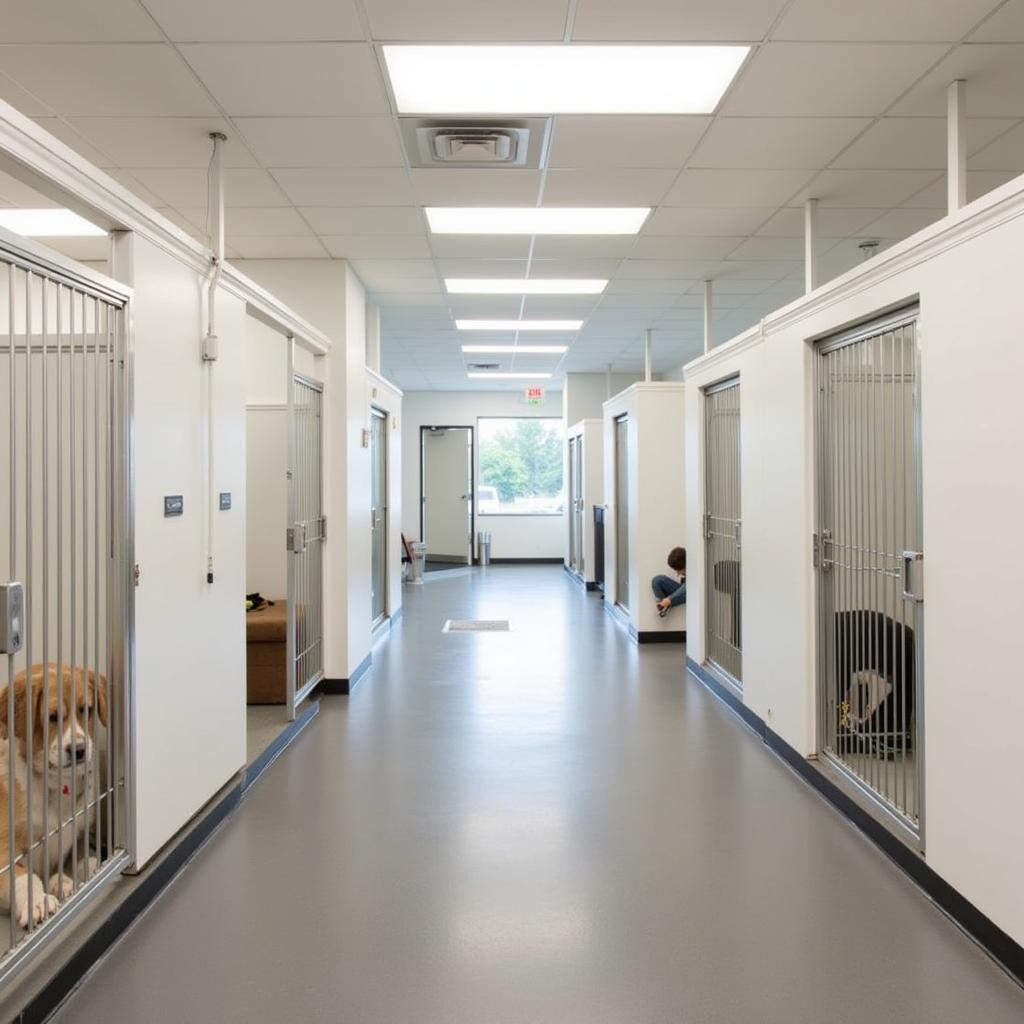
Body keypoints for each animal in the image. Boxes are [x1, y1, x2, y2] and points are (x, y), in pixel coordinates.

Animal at [0, 663, 108, 929]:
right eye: (51, 717)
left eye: (86, 710)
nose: (79, 750)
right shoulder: (4, 849)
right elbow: (23, 877)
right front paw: (37, 901)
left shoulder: (79, 829)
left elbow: (78, 857)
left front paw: (74, 875)